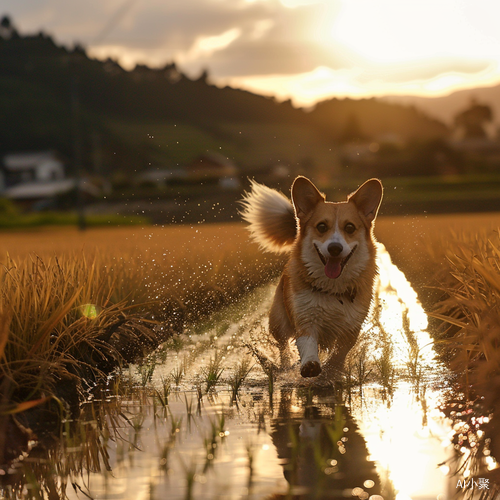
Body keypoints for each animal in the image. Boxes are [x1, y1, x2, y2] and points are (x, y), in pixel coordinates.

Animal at [240, 178, 384, 376]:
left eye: (350, 227)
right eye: (321, 226)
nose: (335, 248)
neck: (333, 289)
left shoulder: (351, 327)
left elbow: (340, 352)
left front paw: (333, 370)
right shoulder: (305, 318)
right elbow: (307, 343)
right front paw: (310, 365)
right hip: (279, 320)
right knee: (283, 346)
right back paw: (285, 366)